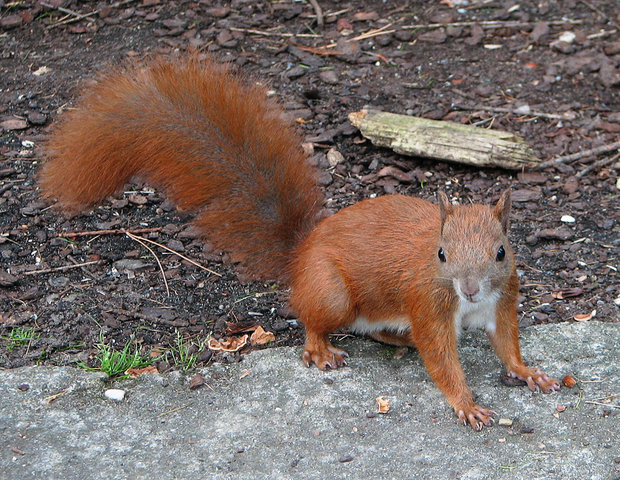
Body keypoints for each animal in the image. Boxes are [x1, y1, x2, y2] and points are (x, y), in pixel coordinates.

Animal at [41, 56, 560, 432]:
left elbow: (507, 344)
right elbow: (442, 359)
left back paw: (396, 338)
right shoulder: (429, 305)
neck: (469, 304)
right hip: (333, 293)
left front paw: (530, 372)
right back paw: (320, 349)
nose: (469, 289)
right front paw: (465, 403)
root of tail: (300, 255)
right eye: (441, 254)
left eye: (501, 251)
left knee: (374, 330)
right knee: (314, 319)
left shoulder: (503, 302)